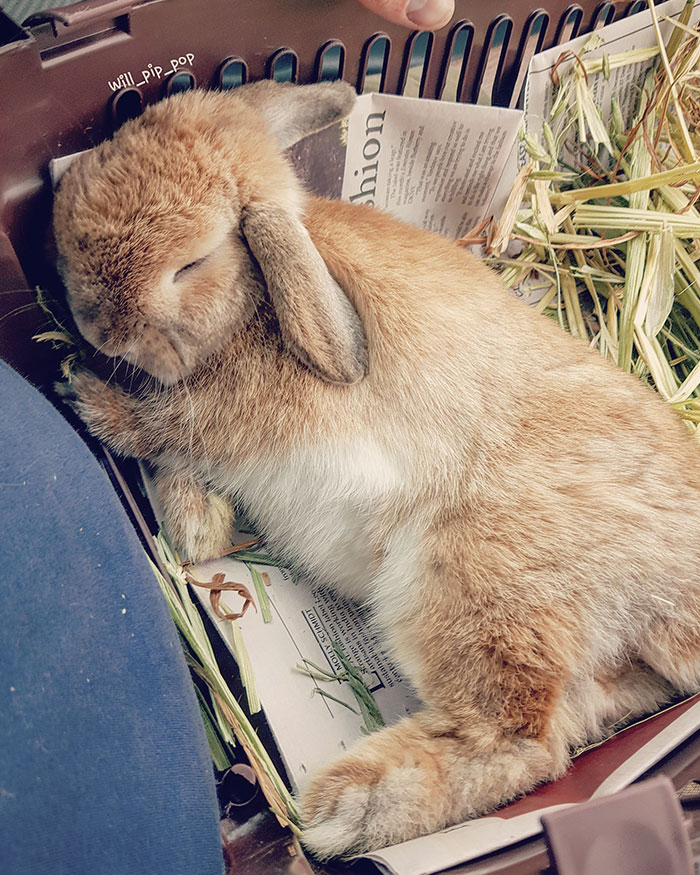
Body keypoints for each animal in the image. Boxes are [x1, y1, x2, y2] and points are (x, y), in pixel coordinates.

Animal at [52, 79, 700, 859]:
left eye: (192, 263)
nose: (97, 328)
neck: (251, 302)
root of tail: (675, 605)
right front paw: (195, 530)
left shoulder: (215, 420)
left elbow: (158, 427)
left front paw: (85, 395)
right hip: (593, 672)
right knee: (564, 726)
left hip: (468, 582)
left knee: (520, 738)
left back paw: (342, 809)